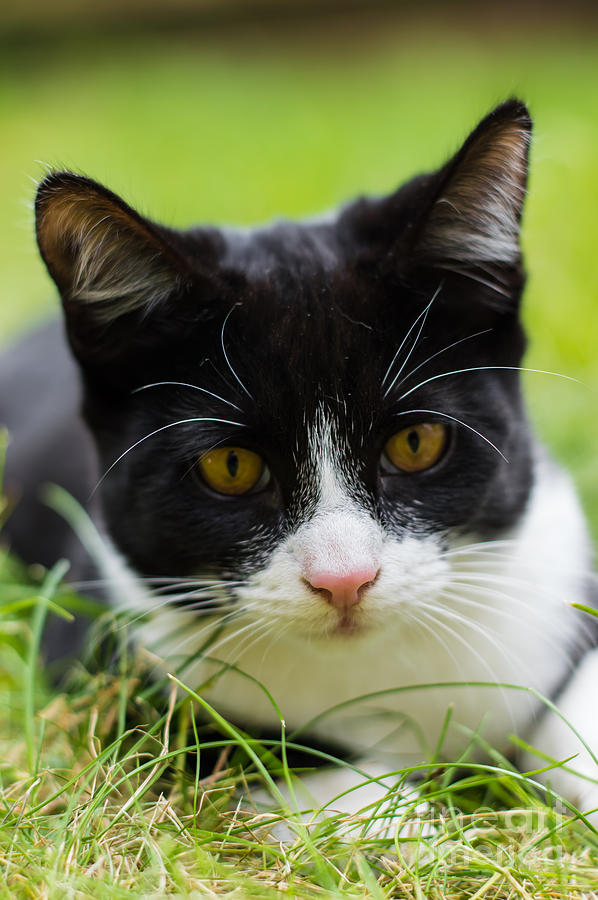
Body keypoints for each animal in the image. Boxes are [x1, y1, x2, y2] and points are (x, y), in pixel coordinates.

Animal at [1, 100, 598, 824]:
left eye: (416, 444)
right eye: (231, 467)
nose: (345, 579)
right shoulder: (101, 642)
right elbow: (236, 748)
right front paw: (405, 818)